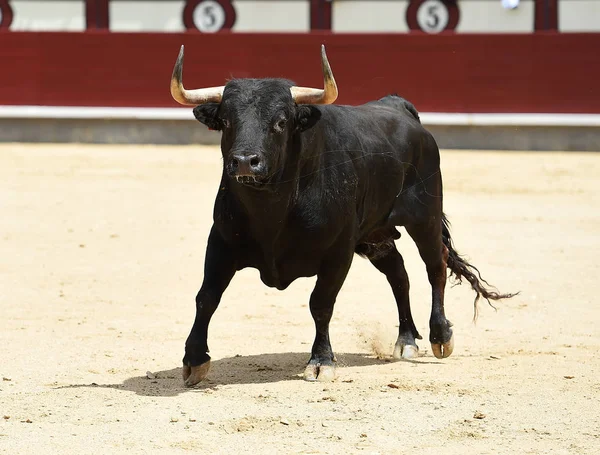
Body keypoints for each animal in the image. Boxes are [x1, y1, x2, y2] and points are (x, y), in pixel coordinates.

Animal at [175, 47, 516, 388]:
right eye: (226, 121)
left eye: (281, 122)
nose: (246, 161)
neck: (271, 211)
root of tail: (399, 107)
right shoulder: (221, 243)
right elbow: (207, 297)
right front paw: (195, 360)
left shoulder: (337, 251)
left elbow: (321, 303)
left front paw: (321, 361)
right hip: (376, 236)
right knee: (399, 274)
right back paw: (406, 341)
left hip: (425, 218)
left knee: (436, 266)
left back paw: (440, 336)